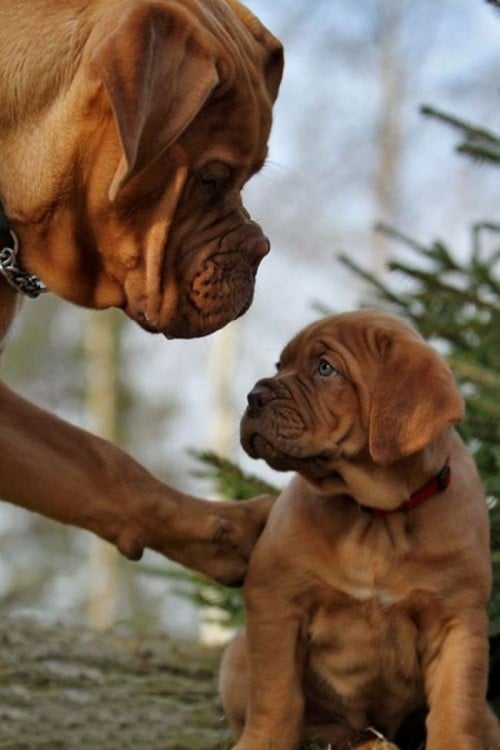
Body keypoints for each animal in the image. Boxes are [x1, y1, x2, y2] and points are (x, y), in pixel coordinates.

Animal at [220, 312, 500, 750]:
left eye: (325, 369)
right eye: (280, 366)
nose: (254, 396)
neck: (377, 516)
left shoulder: (456, 621)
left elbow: (456, 706)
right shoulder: (275, 600)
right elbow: (276, 694)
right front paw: (261, 743)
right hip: (236, 653)